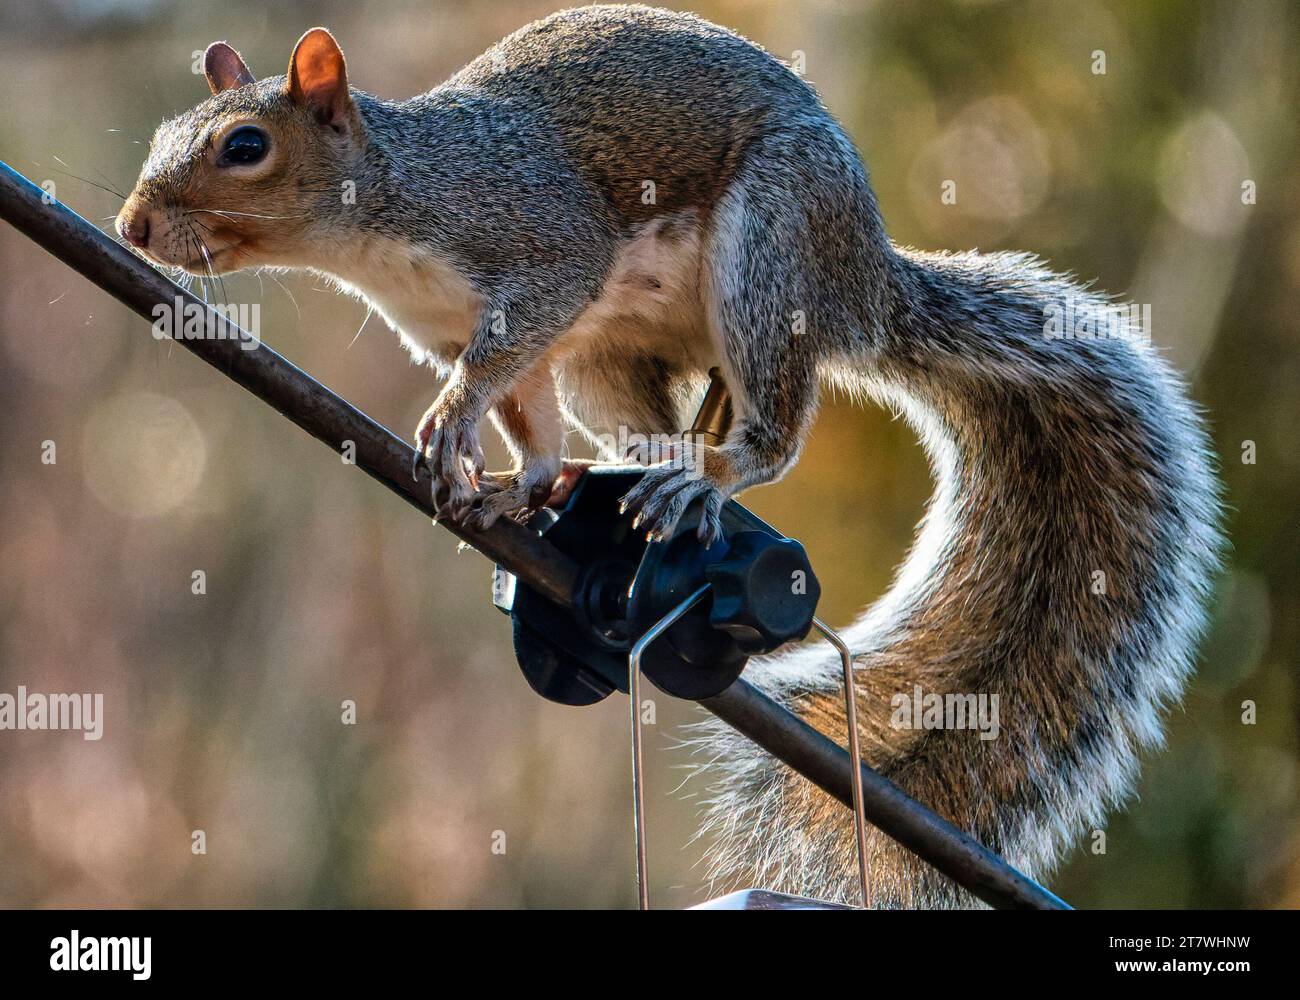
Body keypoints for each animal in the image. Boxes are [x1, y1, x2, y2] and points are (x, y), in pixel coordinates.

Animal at [117, 5, 1223, 907]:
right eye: (165, 134)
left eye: (244, 145)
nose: (133, 225)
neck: (386, 211)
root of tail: (866, 282)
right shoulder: (490, 331)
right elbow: (524, 411)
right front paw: (514, 481)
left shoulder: (542, 247)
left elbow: (497, 362)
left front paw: (451, 422)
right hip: (613, 358)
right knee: (678, 413)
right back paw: (613, 481)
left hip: (770, 252)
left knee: (770, 422)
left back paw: (707, 480)